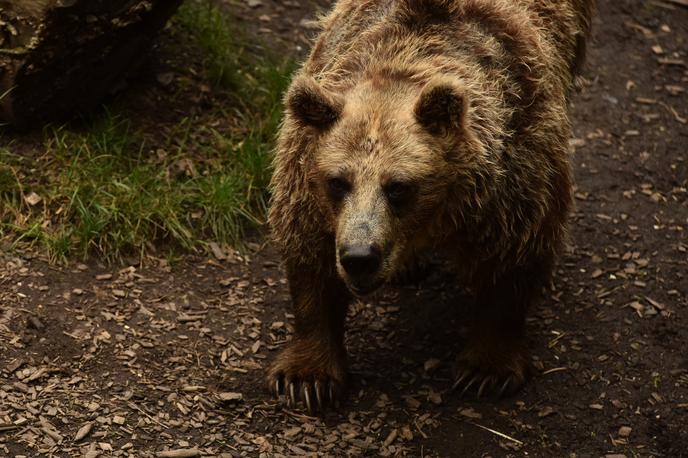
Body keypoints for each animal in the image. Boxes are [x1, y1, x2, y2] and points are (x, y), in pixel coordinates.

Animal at [268, 0, 592, 412]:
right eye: (338, 182)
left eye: (399, 187)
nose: (360, 257)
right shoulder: (304, 176)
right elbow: (310, 258)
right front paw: (307, 376)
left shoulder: (518, 166)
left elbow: (514, 255)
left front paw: (486, 369)